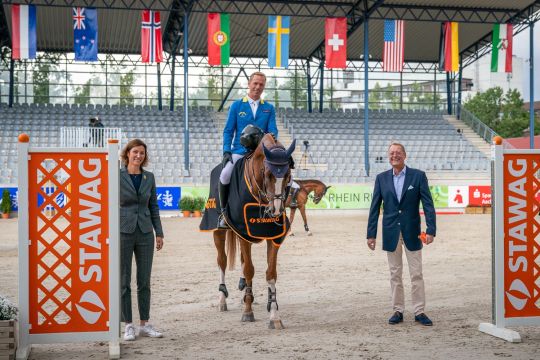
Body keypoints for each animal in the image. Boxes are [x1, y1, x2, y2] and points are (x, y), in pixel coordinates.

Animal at [213, 134, 296, 330]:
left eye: (288, 176)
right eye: (268, 175)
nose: (276, 210)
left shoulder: (273, 237)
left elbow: (270, 273)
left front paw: (274, 315)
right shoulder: (244, 234)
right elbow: (249, 270)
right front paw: (247, 312)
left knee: (243, 262)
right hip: (218, 232)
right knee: (222, 261)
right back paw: (222, 299)